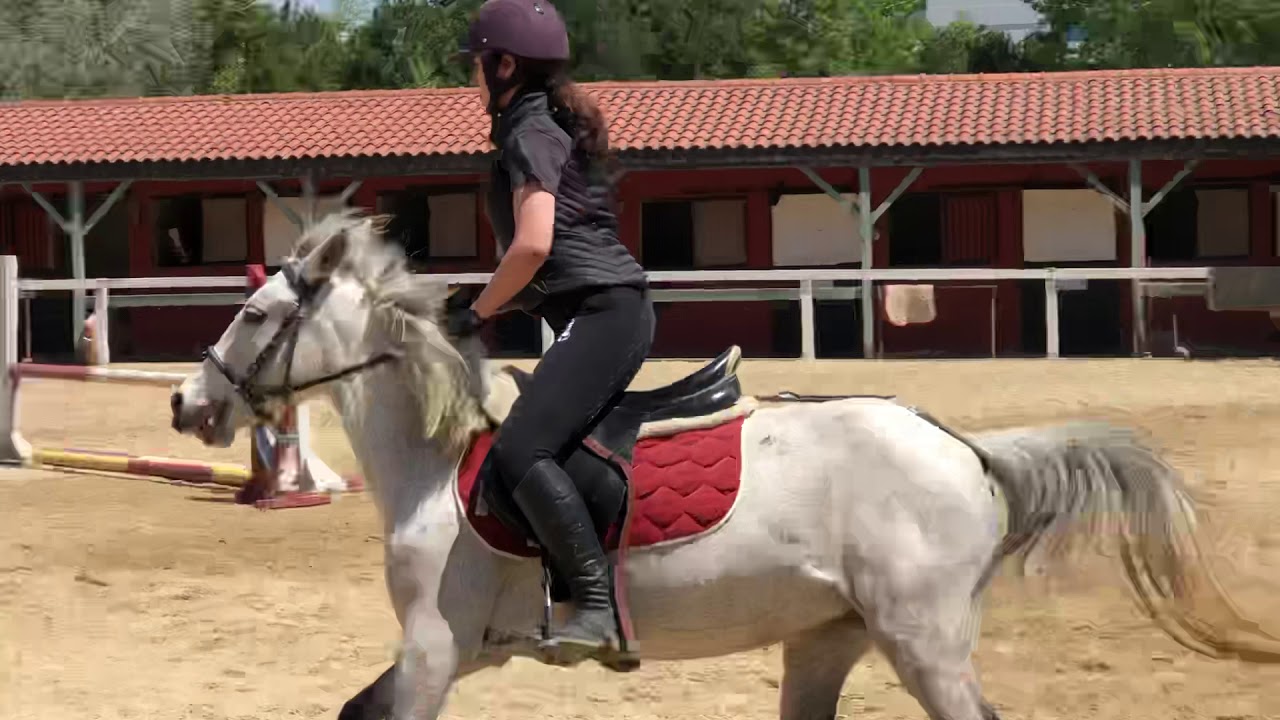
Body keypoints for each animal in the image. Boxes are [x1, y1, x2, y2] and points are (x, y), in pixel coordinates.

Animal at [171, 211, 1280, 720]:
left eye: (257, 315)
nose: (188, 403)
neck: (438, 462)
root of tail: (962, 448)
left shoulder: (436, 649)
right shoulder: (465, 649)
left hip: (921, 641)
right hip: (828, 638)